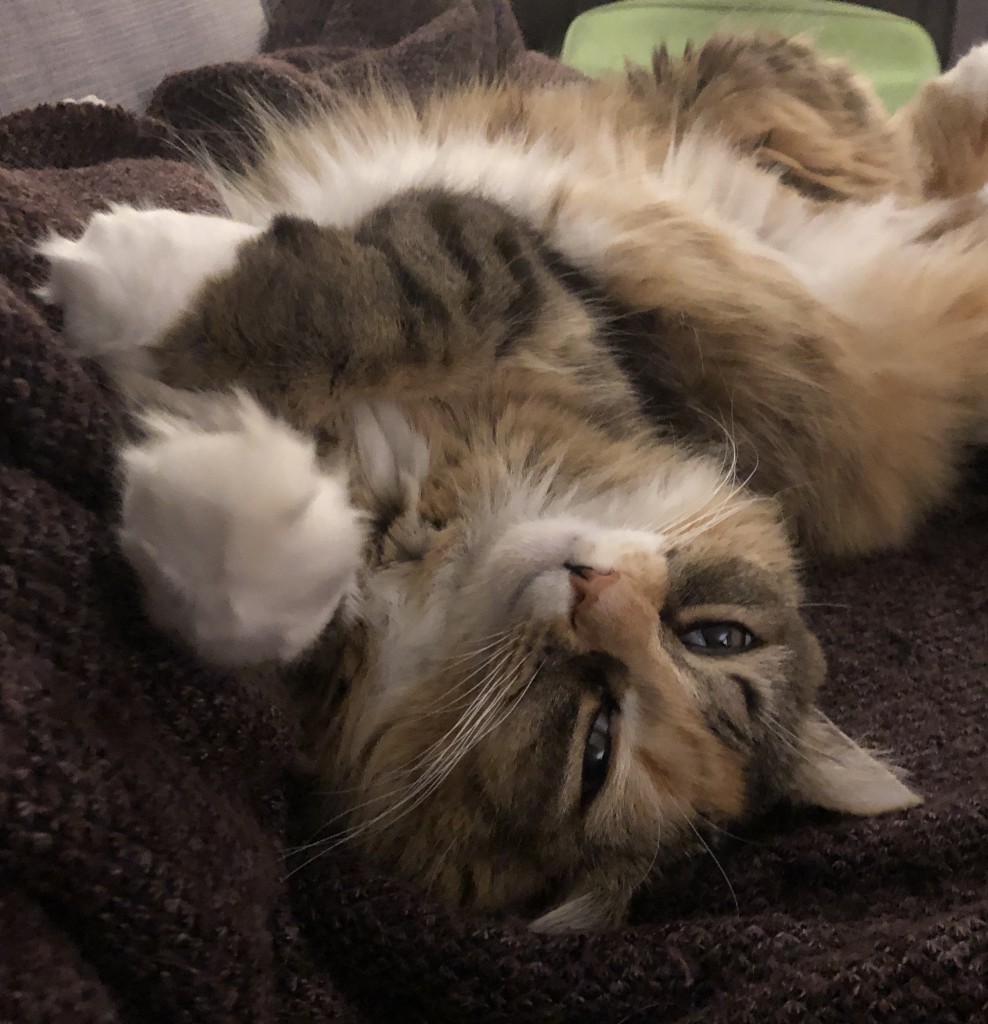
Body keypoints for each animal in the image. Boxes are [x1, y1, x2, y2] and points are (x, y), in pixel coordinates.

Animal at [34, 36, 986, 933]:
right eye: (716, 636)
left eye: (597, 746)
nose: (592, 590)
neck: (459, 530)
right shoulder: (526, 280)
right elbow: (361, 298)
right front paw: (126, 267)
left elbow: (252, 595)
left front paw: (215, 485)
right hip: (743, 93)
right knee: (902, 150)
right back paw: (967, 75)